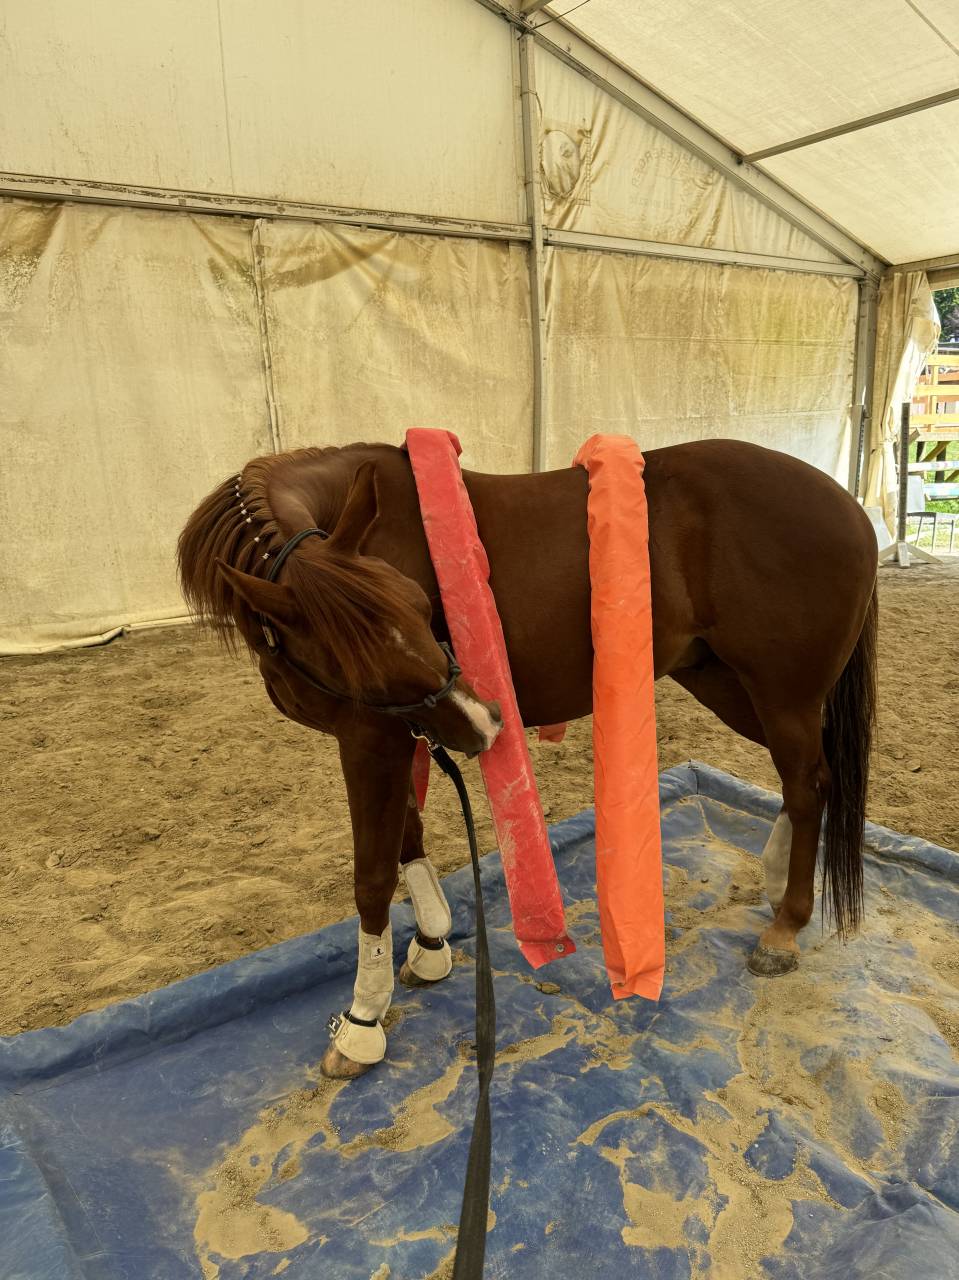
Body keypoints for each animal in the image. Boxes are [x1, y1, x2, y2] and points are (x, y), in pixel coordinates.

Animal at [177, 438, 878, 1079]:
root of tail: (854, 509)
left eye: (422, 606)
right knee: (806, 779)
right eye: (368, 658)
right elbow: (408, 836)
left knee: (809, 783)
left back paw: (785, 927)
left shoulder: (372, 736)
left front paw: (362, 1020)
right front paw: (431, 941)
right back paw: (777, 879)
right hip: (725, 682)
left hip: (781, 695)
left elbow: (372, 875)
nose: (485, 722)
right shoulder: (396, 730)